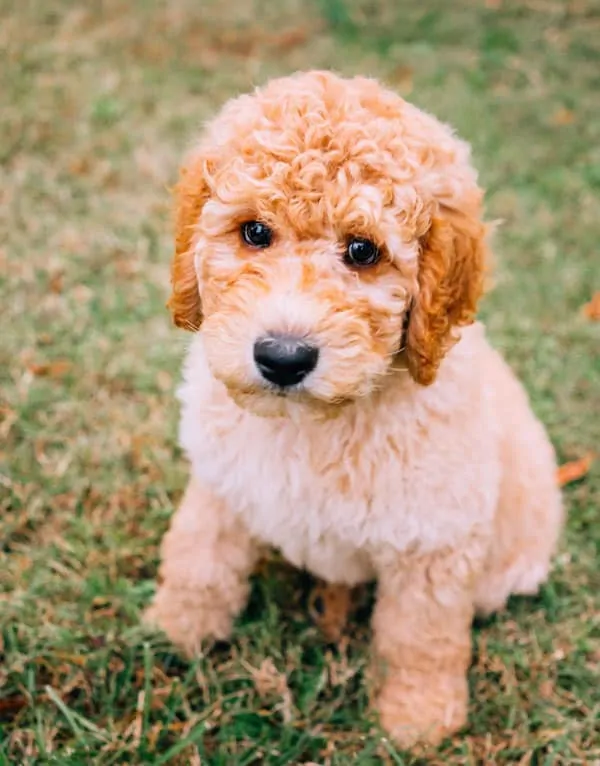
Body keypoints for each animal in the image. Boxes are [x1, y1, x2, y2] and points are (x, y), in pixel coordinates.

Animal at [145, 70, 564, 752]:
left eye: (364, 251)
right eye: (253, 232)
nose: (283, 358)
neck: (314, 423)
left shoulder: (433, 540)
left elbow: (420, 637)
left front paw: (418, 719)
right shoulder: (222, 481)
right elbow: (198, 559)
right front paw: (176, 630)